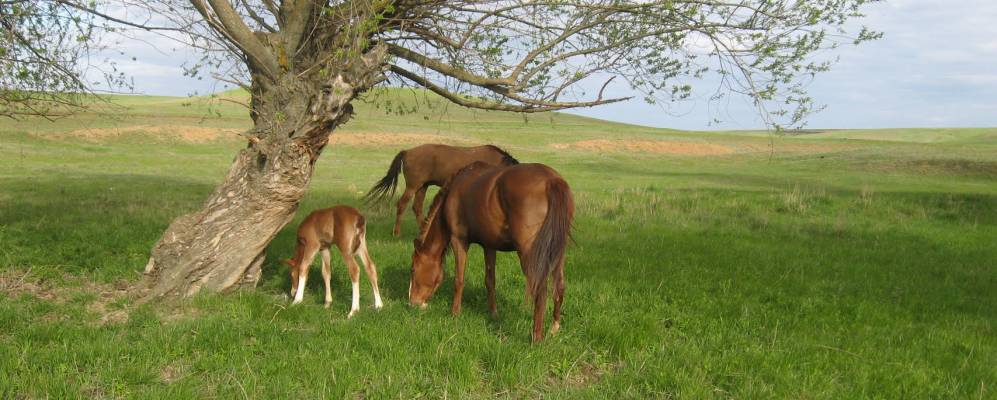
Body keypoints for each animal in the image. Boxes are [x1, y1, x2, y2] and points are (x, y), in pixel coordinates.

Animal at [366, 144, 520, 236]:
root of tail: (407, 152)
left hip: (423, 186)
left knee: (417, 207)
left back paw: (423, 229)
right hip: (413, 186)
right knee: (402, 204)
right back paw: (397, 232)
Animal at [406, 161, 576, 342]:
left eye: (413, 269)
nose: (412, 303)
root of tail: (552, 180)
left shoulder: (459, 241)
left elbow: (459, 280)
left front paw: (454, 313)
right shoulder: (489, 246)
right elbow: (490, 280)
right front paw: (493, 313)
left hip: (530, 255)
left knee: (540, 291)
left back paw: (536, 337)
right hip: (557, 253)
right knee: (560, 286)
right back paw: (554, 328)